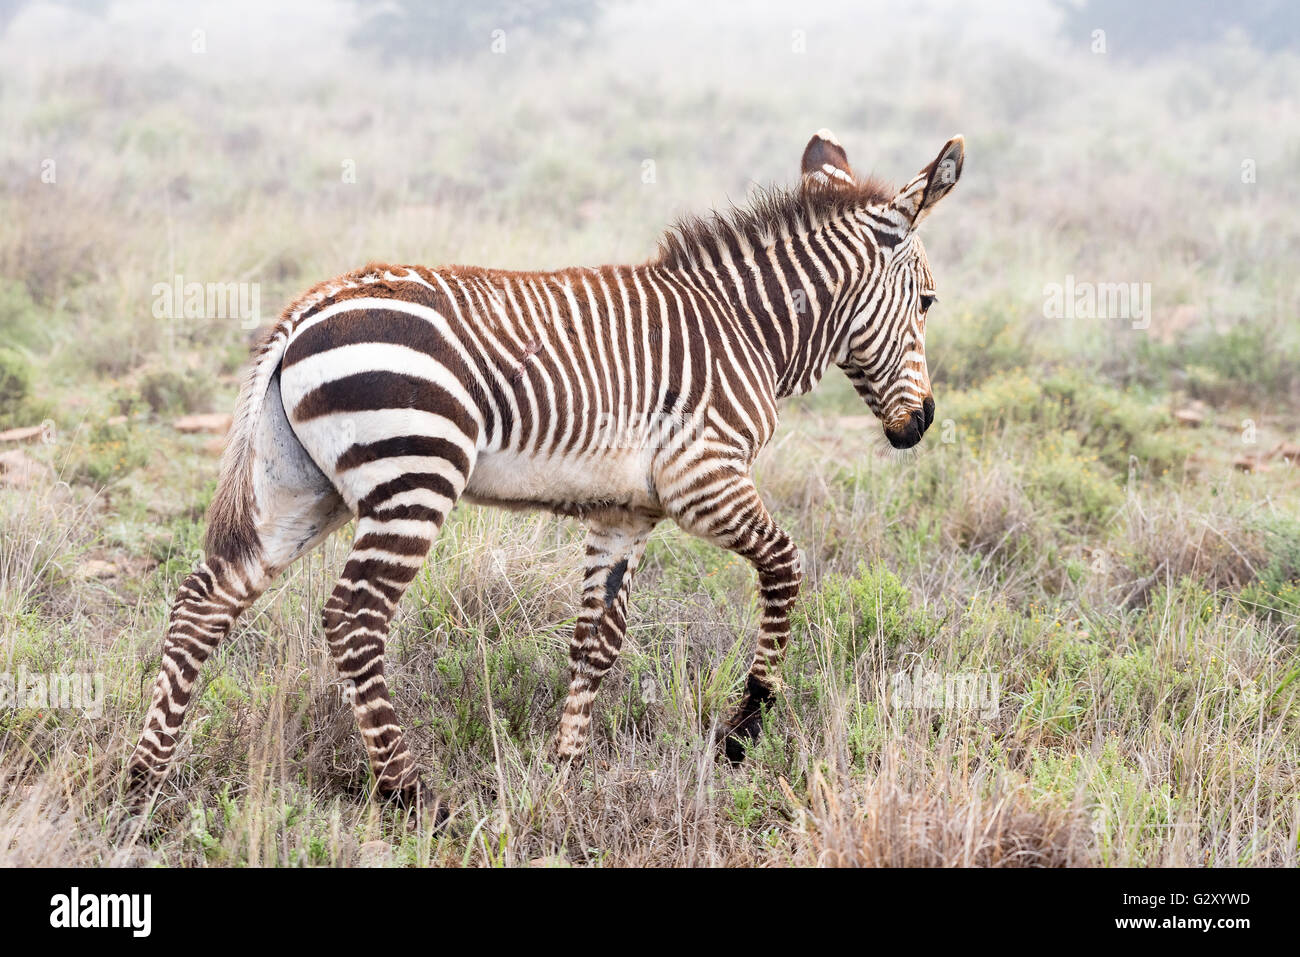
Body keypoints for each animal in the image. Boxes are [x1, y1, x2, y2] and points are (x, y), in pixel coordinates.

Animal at [126, 127, 967, 816]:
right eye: (927, 302)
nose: (922, 424)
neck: (747, 328)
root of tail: (304, 310)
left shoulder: (624, 511)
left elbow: (596, 638)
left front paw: (566, 770)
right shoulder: (705, 479)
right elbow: (786, 566)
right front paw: (745, 724)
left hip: (300, 489)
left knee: (204, 600)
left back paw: (143, 782)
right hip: (412, 475)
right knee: (354, 617)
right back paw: (410, 793)